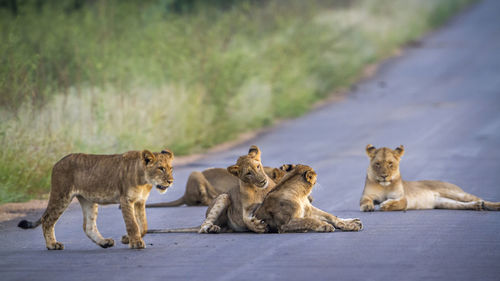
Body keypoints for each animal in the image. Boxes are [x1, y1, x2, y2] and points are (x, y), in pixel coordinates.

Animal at [18, 149, 175, 249]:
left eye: (171, 168)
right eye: (161, 168)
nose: (171, 181)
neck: (145, 181)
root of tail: (57, 162)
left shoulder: (140, 202)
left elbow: (144, 226)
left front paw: (126, 239)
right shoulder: (126, 200)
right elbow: (133, 224)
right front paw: (136, 243)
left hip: (88, 200)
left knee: (88, 226)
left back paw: (104, 242)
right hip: (62, 195)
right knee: (46, 219)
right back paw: (52, 245)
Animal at [360, 144, 500, 210]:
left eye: (390, 164)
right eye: (377, 164)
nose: (384, 176)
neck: (385, 185)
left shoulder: (402, 198)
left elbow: (398, 203)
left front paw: (385, 205)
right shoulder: (367, 195)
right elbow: (365, 201)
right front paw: (368, 207)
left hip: (455, 193)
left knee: (479, 198)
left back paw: (492, 205)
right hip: (444, 203)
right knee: (463, 204)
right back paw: (477, 206)